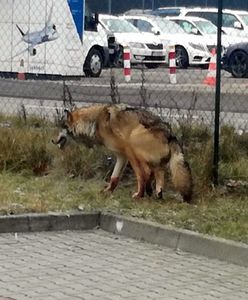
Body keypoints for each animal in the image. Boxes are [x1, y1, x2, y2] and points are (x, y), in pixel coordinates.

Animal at [52, 103, 193, 202]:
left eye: (61, 128)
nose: (52, 140)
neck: (94, 122)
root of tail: (170, 134)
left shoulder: (127, 151)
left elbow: (140, 176)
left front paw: (139, 194)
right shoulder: (121, 156)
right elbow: (114, 178)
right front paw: (107, 191)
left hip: (134, 144)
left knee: (147, 172)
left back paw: (142, 194)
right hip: (153, 160)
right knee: (159, 172)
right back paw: (157, 194)